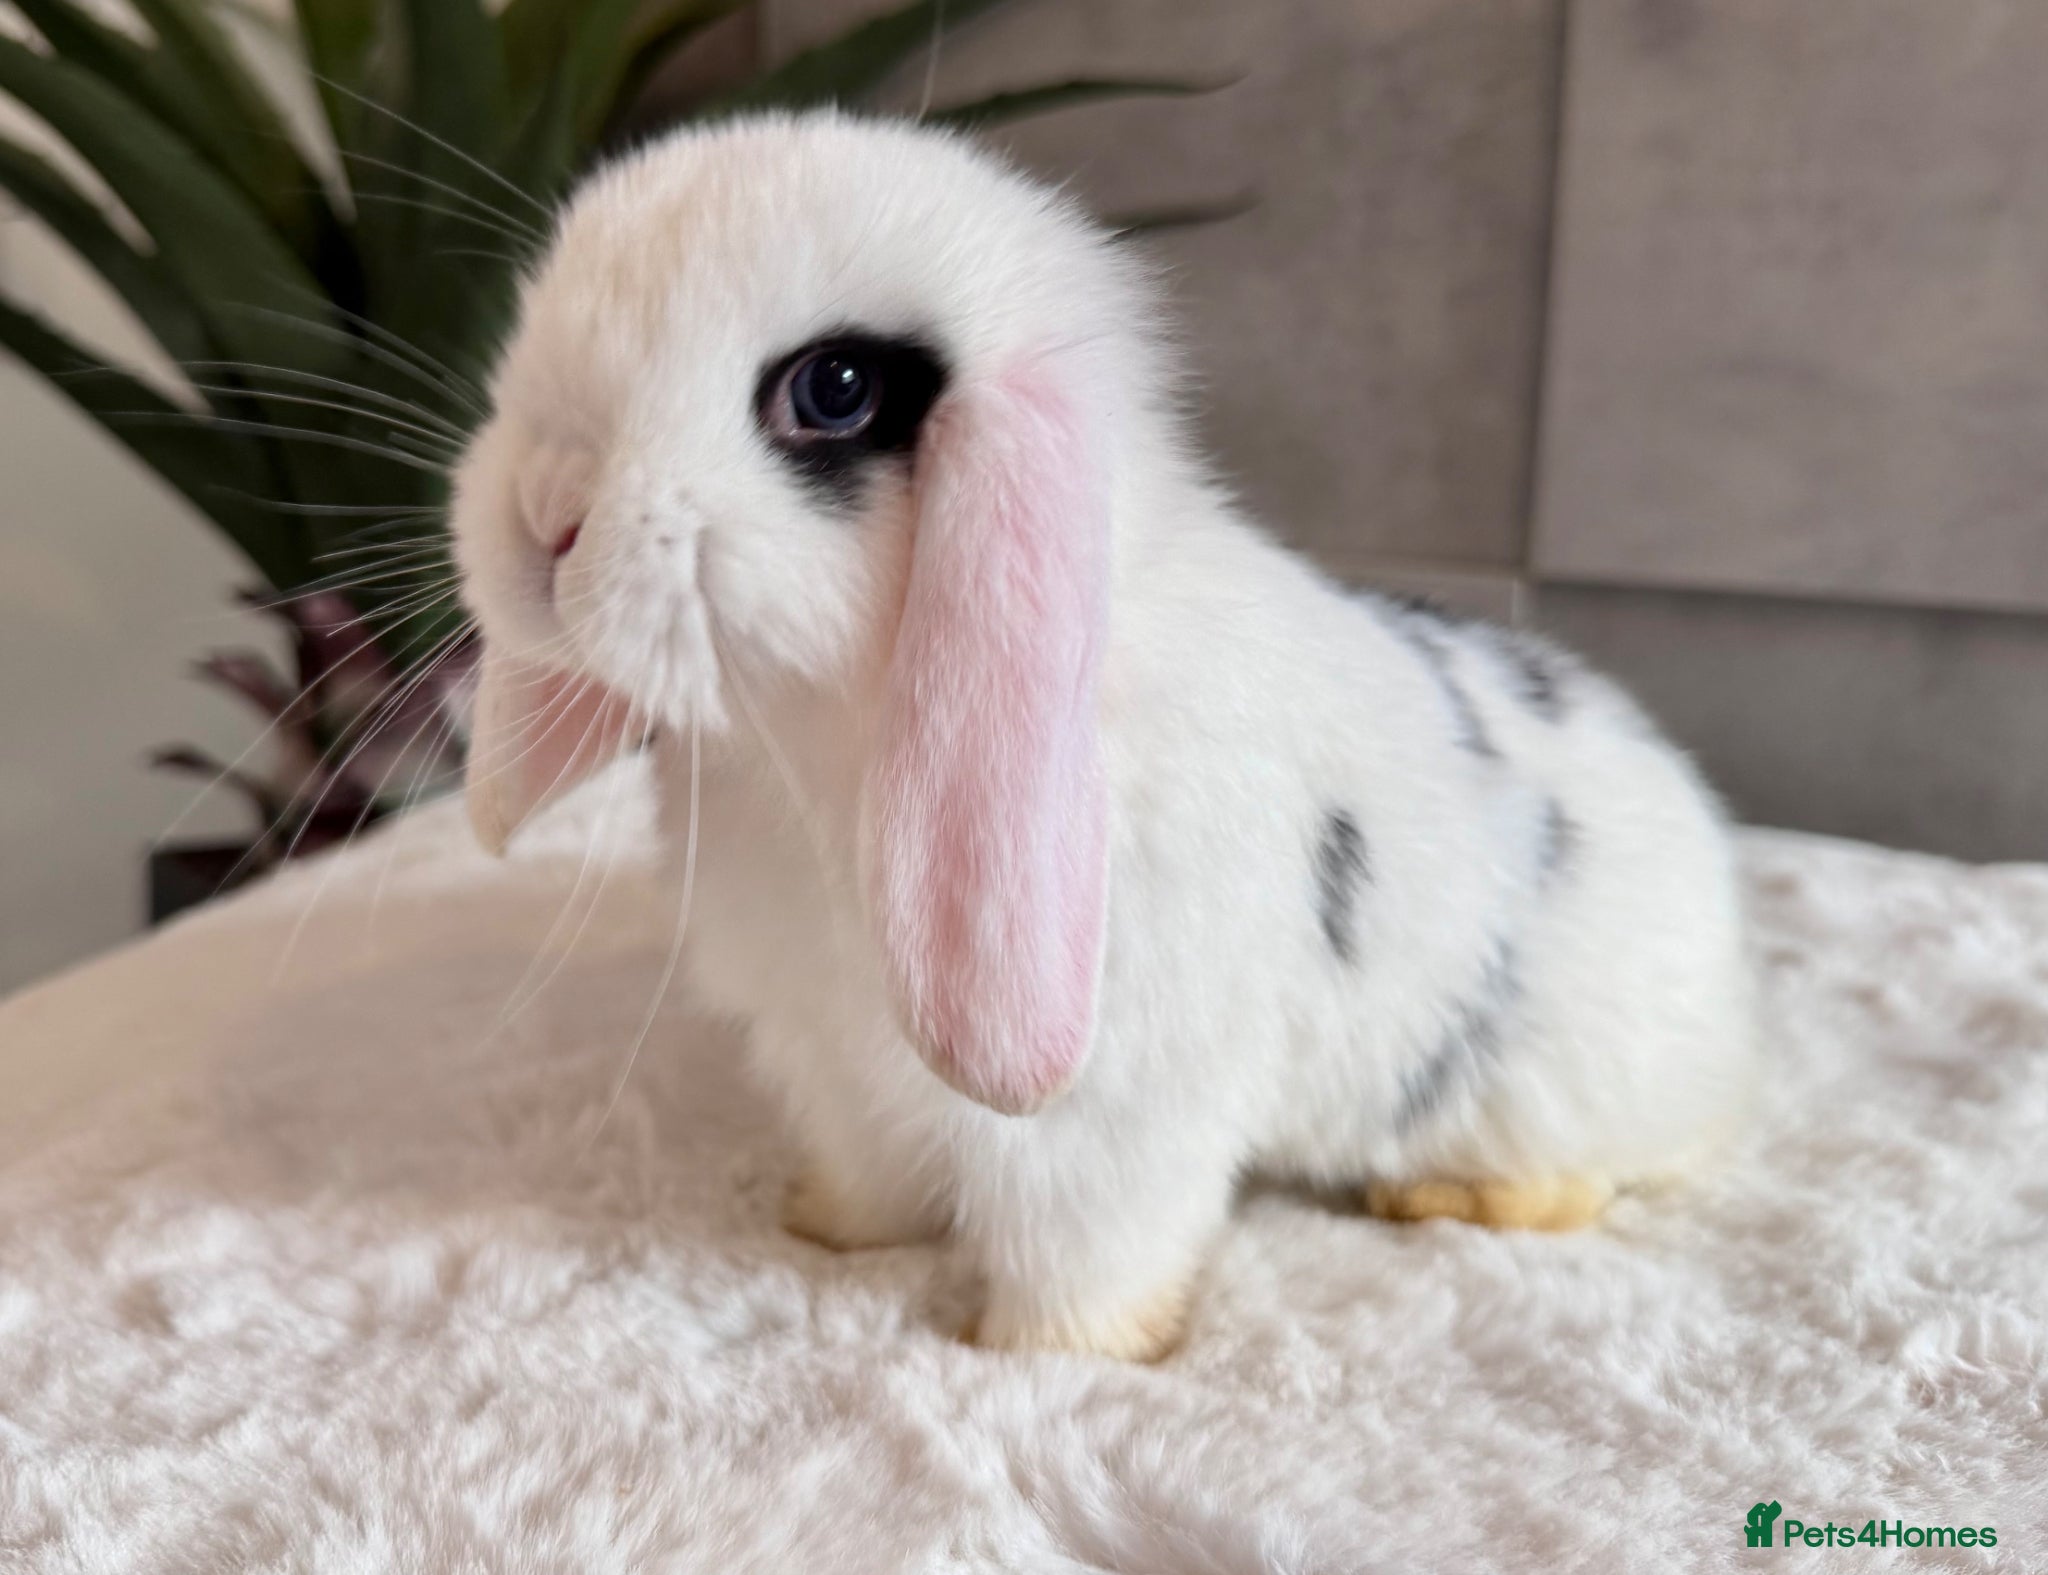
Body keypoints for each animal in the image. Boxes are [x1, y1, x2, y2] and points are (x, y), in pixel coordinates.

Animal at [452, 111, 1755, 1362]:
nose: (543, 510)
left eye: (833, 388)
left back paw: (1457, 1198)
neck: (820, 740)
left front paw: (1046, 1355)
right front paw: (825, 1230)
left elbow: (1084, 1251)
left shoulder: (1110, 1120)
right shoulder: (836, 1066)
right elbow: (872, 1170)